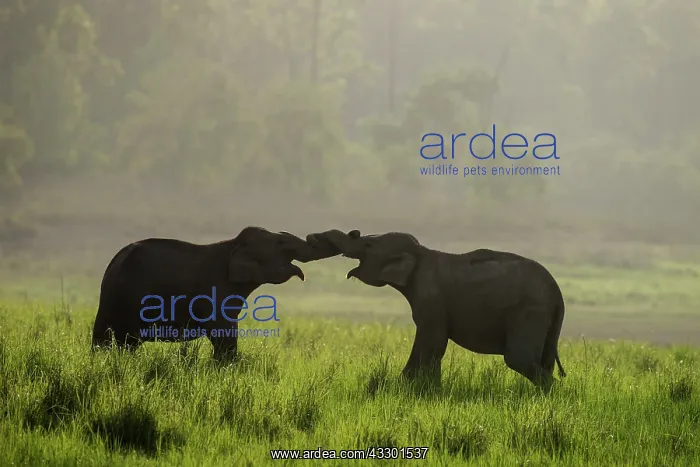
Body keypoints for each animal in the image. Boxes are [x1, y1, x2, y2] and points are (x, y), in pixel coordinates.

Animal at [91, 226, 340, 360]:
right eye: (280, 242)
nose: (317, 235)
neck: (233, 245)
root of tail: (115, 261)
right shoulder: (216, 293)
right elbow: (224, 334)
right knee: (127, 342)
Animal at [306, 229, 567, 390]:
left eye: (369, 244)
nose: (312, 237)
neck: (421, 252)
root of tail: (558, 293)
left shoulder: (430, 298)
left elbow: (433, 341)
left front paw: (404, 386)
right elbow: (435, 345)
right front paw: (427, 389)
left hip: (528, 311)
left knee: (518, 358)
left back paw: (553, 394)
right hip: (546, 320)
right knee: (543, 360)